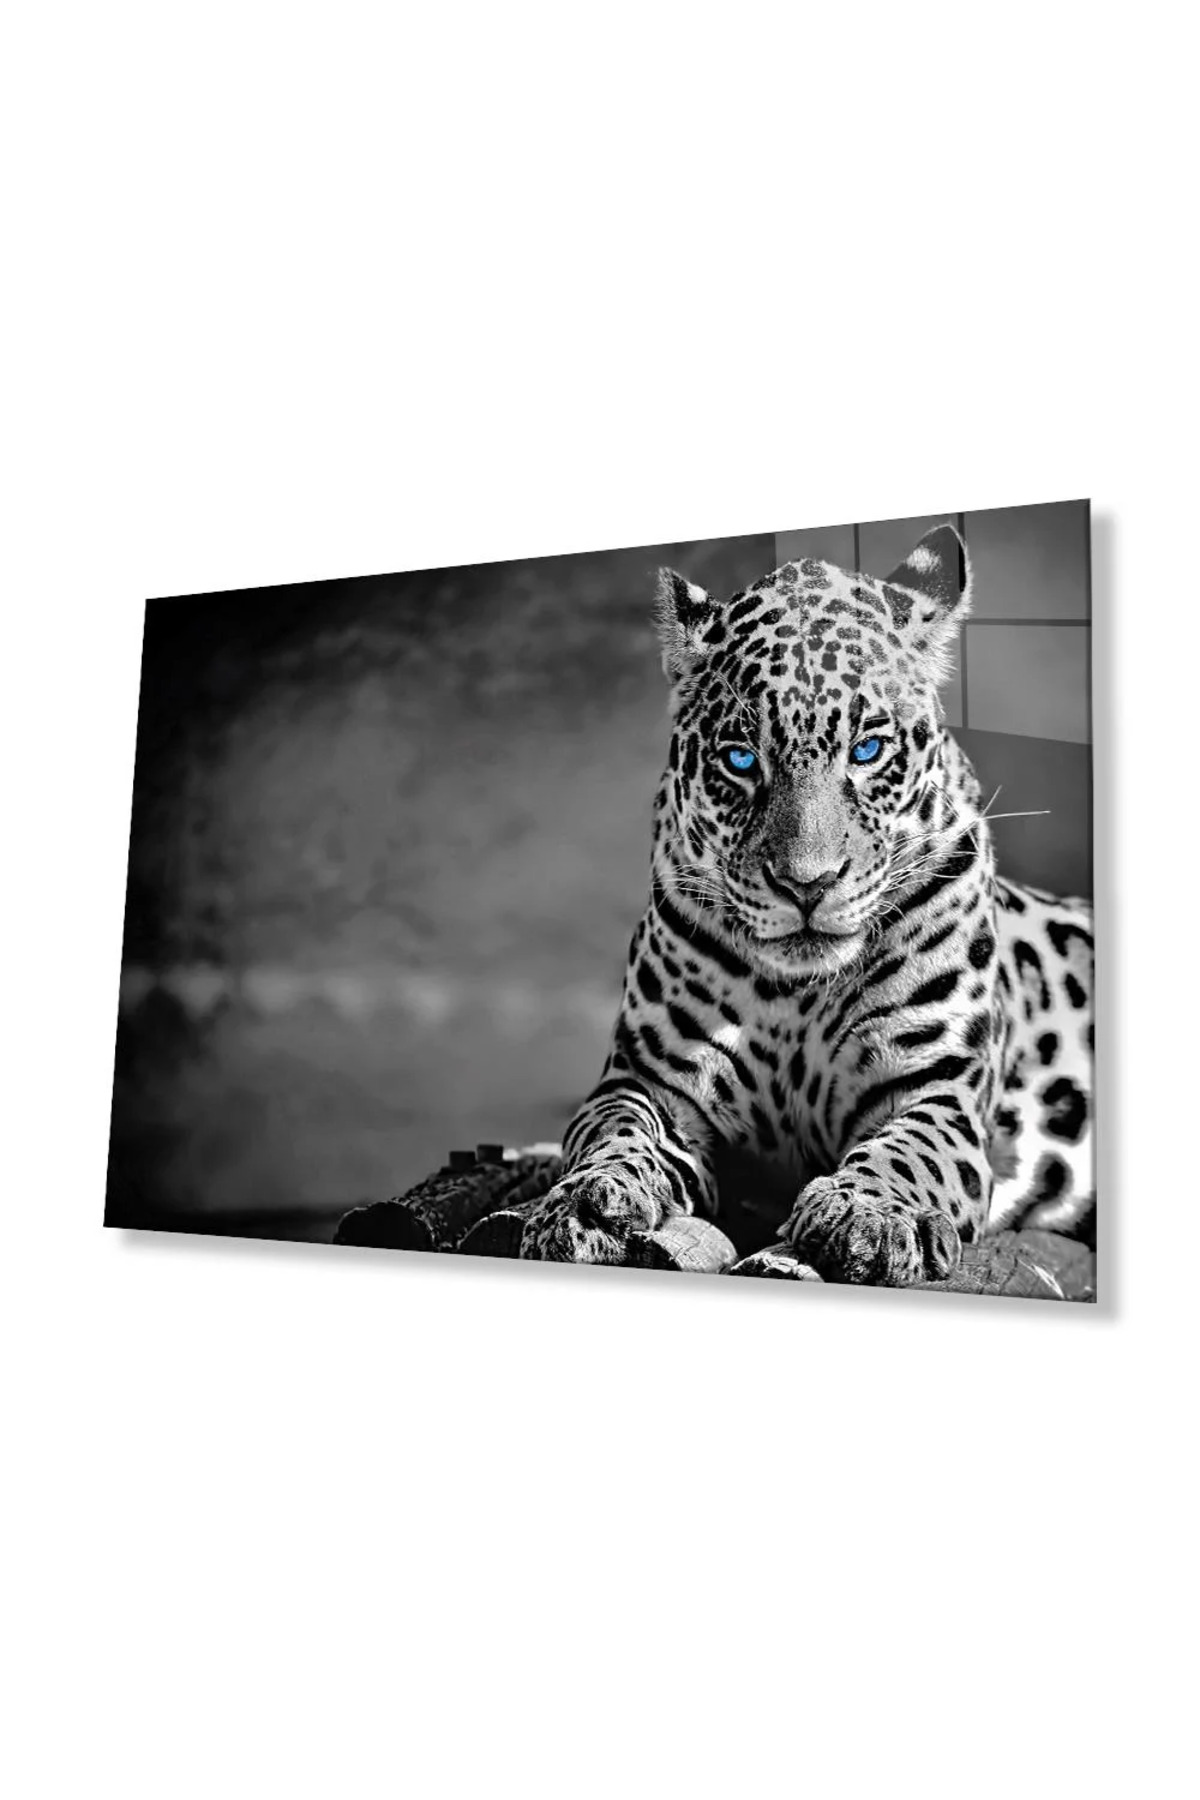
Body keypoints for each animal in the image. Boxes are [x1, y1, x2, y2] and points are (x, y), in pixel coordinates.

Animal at [520, 523, 1094, 1286]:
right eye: (740, 759)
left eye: (869, 749)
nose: (806, 885)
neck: (800, 995)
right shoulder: (648, 1080)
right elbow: (612, 1131)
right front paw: (589, 1201)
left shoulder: (937, 1092)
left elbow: (907, 1153)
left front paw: (868, 1214)